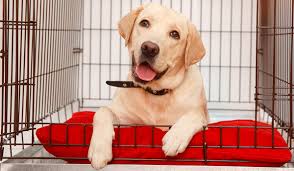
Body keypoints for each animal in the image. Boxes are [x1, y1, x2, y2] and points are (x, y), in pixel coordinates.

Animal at [88, 2, 209, 170]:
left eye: (175, 34)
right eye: (144, 23)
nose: (149, 48)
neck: (156, 93)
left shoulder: (203, 119)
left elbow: (195, 115)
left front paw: (175, 137)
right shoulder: (126, 121)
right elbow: (102, 111)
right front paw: (99, 149)